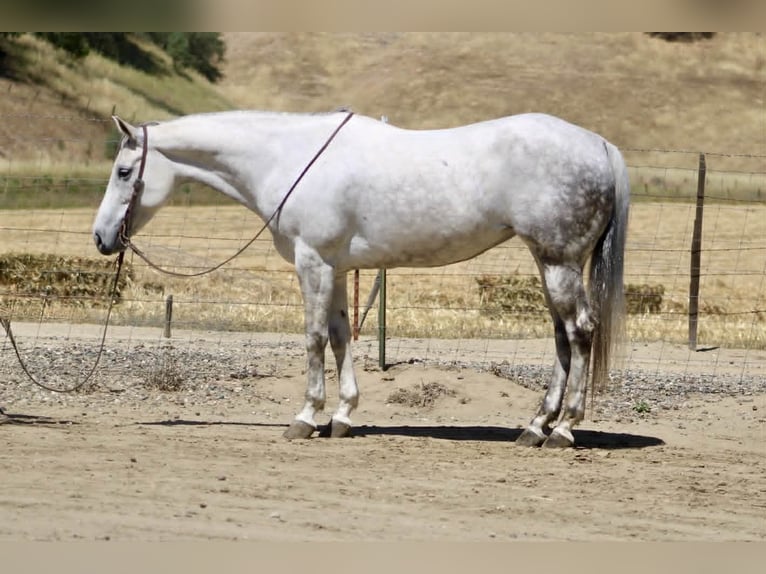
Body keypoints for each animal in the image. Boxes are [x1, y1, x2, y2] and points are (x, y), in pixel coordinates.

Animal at [93, 109, 629, 448]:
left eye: (124, 172)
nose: (101, 238)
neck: (290, 158)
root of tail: (601, 146)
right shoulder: (334, 268)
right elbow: (339, 336)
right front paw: (342, 416)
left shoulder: (311, 263)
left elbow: (312, 339)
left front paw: (305, 418)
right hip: (549, 263)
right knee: (562, 338)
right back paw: (535, 427)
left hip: (558, 262)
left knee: (580, 332)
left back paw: (564, 430)